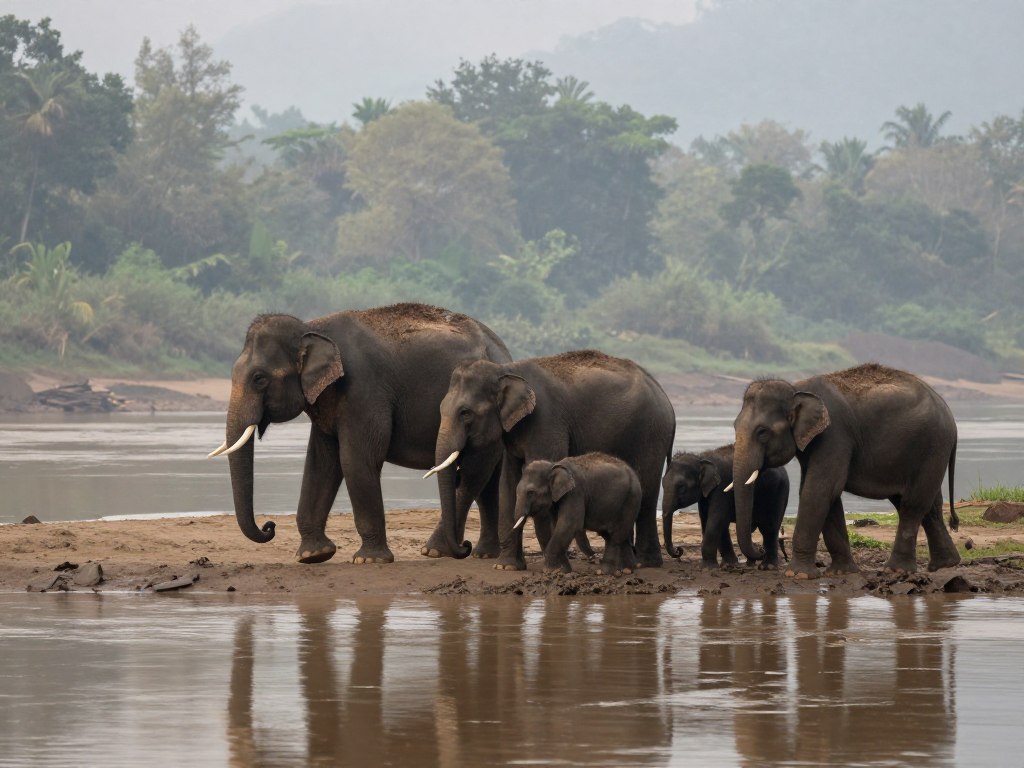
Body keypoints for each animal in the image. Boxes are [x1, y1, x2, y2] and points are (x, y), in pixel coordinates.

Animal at [208, 303, 511, 564]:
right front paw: (313, 556)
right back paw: (482, 553)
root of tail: (504, 352)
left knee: (474, 474)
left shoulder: (363, 390)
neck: (312, 327)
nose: (269, 526)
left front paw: (369, 559)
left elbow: (356, 459)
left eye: (259, 378)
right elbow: (321, 464)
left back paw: (436, 551)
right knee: (488, 481)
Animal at [513, 453, 642, 575]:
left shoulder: (575, 492)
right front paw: (563, 571)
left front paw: (551, 571)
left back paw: (605, 572)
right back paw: (626, 569)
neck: (554, 465)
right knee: (616, 535)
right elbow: (558, 525)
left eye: (531, 493)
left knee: (615, 536)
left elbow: (569, 524)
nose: (593, 558)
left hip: (631, 499)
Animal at [731, 362, 960, 578]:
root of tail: (949, 414)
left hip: (933, 446)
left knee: (913, 503)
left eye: (762, 432)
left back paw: (897, 570)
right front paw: (841, 572)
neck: (796, 388)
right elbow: (826, 494)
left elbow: (819, 490)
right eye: (734, 426)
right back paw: (945, 565)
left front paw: (798, 574)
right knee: (928, 504)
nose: (759, 553)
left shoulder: (834, 435)